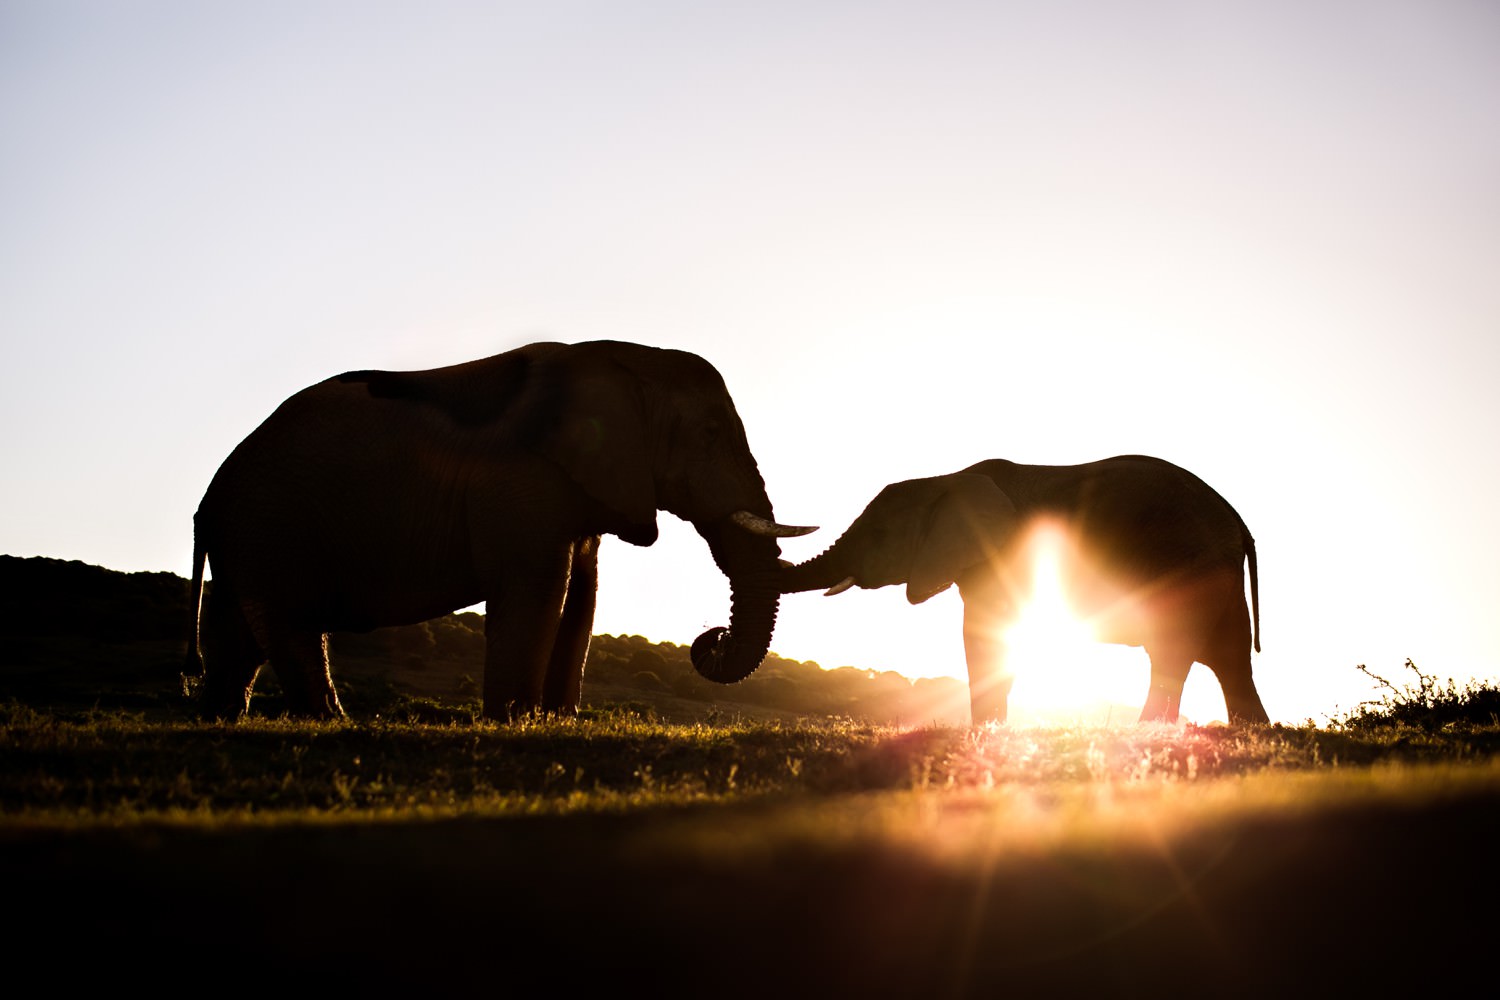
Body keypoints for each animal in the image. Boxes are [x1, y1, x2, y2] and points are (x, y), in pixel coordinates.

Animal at [189, 341, 822, 719]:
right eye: (710, 433)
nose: (711, 637)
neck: (622, 357)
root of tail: (208, 497)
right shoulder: (523, 482)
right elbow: (540, 588)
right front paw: (516, 722)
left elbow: (583, 594)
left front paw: (559, 723)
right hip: (270, 524)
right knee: (289, 624)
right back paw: (332, 724)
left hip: (252, 534)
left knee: (239, 630)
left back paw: (221, 720)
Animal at [780, 455, 1272, 728]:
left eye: (879, 535)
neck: (945, 480)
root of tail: (1236, 518)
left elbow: (982, 631)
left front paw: (985, 731)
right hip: (1215, 570)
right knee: (1229, 659)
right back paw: (1251, 731)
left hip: (1188, 563)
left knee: (1173, 651)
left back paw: (1145, 730)